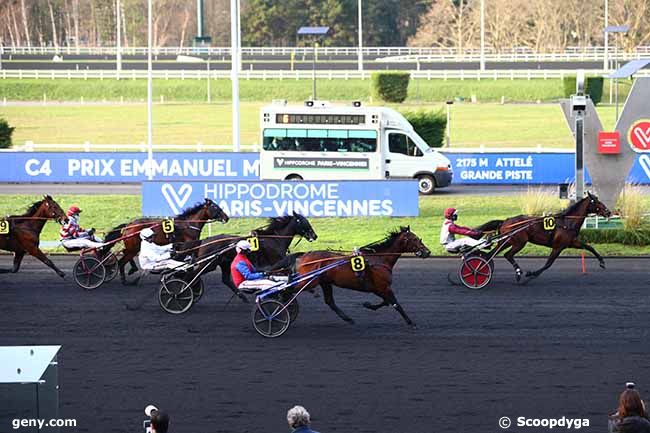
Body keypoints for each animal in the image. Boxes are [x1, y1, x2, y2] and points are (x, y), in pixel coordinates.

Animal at [178, 212, 318, 300]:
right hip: (208, 264)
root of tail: (205, 240)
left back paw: (242, 296)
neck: (274, 239)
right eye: (303, 221)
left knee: (225, 279)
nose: (314, 236)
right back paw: (181, 291)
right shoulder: (276, 262)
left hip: (224, 263)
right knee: (192, 274)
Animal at [284, 226, 430, 328]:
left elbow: (386, 302)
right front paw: (411, 322)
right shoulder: (384, 287)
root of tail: (304, 255)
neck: (379, 259)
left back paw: (348, 319)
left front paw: (368, 305)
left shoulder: (377, 288)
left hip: (325, 282)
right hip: (308, 281)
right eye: (415, 239)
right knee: (288, 290)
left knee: (329, 301)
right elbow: (395, 303)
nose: (427, 252)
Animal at [478, 192, 612, 280]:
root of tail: (505, 221)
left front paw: (602, 262)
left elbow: (589, 247)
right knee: (507, 255)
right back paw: (517, 272)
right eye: (596, 201)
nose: (608, 212)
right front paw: (531, 274)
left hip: (507, 241)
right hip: (519, 242)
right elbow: (548, 264)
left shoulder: (571, 242)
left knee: (492, 255)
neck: (567, 222)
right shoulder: (558, 246)